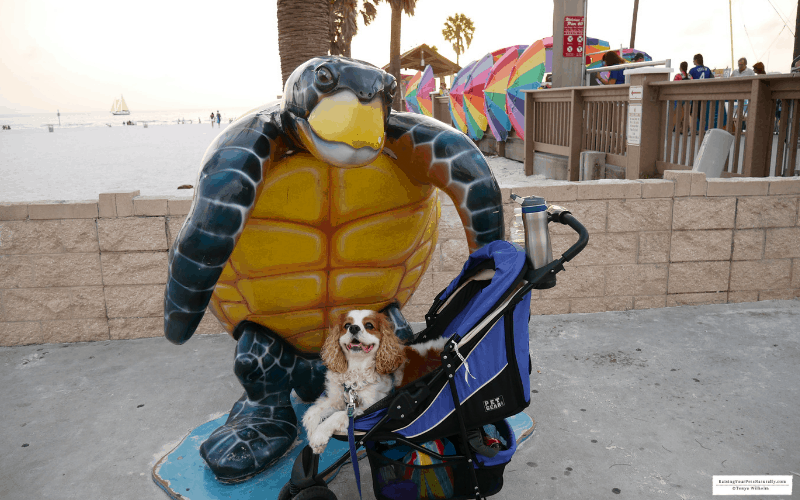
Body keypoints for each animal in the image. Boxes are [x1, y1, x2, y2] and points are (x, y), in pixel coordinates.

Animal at [304, 308, 446, 454]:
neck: (356, 367)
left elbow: (337, 415)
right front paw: (314, 440)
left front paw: (319, 435)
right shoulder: (337, 399)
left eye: (369, 325)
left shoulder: (368, 407)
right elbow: (311, 412)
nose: (353, 328)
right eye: (347, 325)